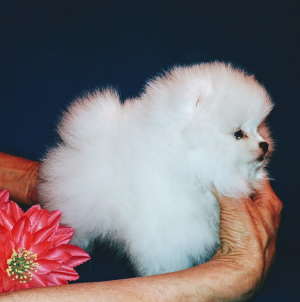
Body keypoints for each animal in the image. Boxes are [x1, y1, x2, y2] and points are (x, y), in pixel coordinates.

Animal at [37, 62, 272, 278]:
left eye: (258, 128)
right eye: (238, 134)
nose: (265, 145)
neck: (185, 160)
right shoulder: (166, 228)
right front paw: (167, 273)